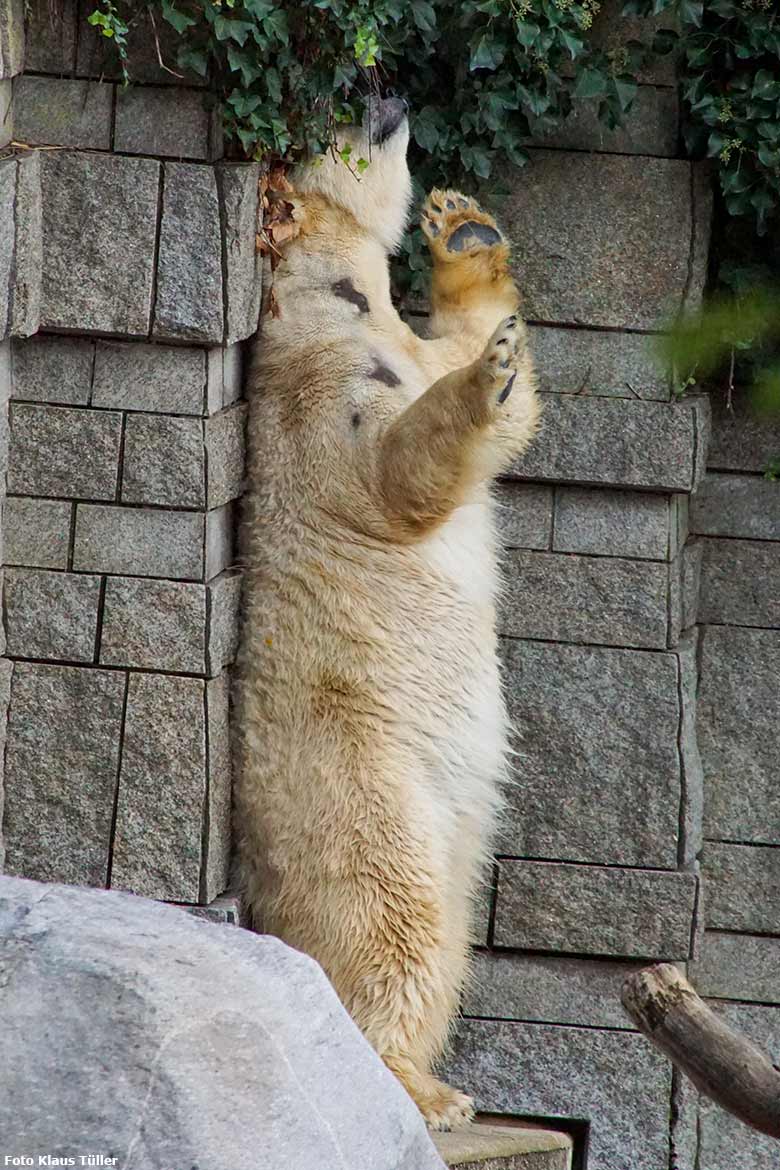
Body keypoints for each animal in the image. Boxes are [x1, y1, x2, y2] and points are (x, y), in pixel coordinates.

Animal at [235, 95, 540, 1127]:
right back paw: (417, 1089)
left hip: (457, 826)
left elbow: (489, 377)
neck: (333, 298)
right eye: (332, 106)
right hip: (354, 768)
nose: (382, 91)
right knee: (388, 915)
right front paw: (486, 376)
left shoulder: (392, 344)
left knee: (449, 927)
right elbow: (393, 473)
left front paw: (466, 231)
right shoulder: (312, 395)